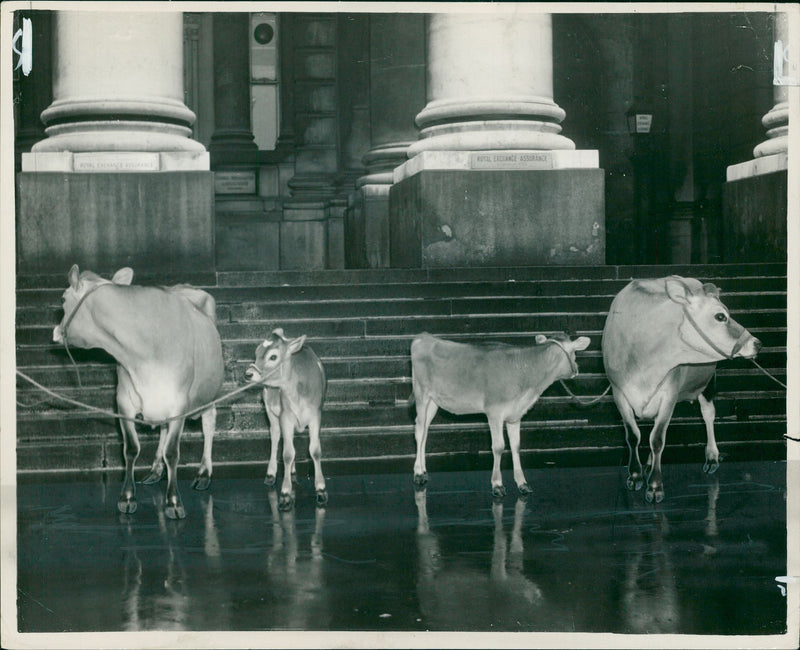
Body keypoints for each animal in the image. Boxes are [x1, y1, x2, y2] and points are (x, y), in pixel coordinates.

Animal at [52, 264, 225, 516]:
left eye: (63, 299)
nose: (56, 332)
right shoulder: (123, 401)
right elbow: (131, 449)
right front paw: (127, 496)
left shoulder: (179, 404)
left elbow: (172, 452)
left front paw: (173, 501)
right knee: (162, 429)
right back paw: (155, 470)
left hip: (209, 393)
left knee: (209, 423)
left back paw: (204, 473)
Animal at [247, 326, 328, 508]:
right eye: (257, 352)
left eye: (273, 356)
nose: (248, 373)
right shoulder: (286, 416)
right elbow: (287, 454)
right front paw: (285, 493)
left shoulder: (316, 415)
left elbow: (315, 451)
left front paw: (321, 489)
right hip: (271, 411)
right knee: (276, 437)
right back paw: (271, 475)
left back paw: (291, 472)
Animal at [412, 332, 592, 494]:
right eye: (575, 352)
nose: (576, 369)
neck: (526, 372)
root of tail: (423, 337)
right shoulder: (494, 412)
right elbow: (498, 447)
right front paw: (497, 484)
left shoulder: (515, 415)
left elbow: (516, 446)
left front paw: (522, 483)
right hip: (422, 394)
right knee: (419, 430)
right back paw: (419, 473)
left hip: (434, 401)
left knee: (425, 430)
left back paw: (424, 469)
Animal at [600, 274, 764, 502]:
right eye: (720, 316)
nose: (757, 343)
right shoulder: (618, 393)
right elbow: (633, 436)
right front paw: (635, 475)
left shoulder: (669, 393)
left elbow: (657, 439)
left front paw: (654, 486)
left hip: (707, 381)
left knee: (708, 414)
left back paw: (712, 458)